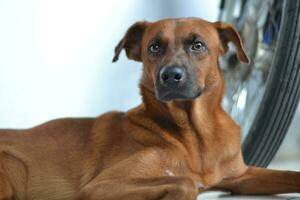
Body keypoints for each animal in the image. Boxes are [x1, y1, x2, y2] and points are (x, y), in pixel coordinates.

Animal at [0, 17, 300, 200]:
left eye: (198, 45)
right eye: (154, 47)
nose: (170, 76)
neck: (195, 136)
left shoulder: (241, 176)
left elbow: (291, 175)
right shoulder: (101, 185)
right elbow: (184, 182)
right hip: (13, 168)